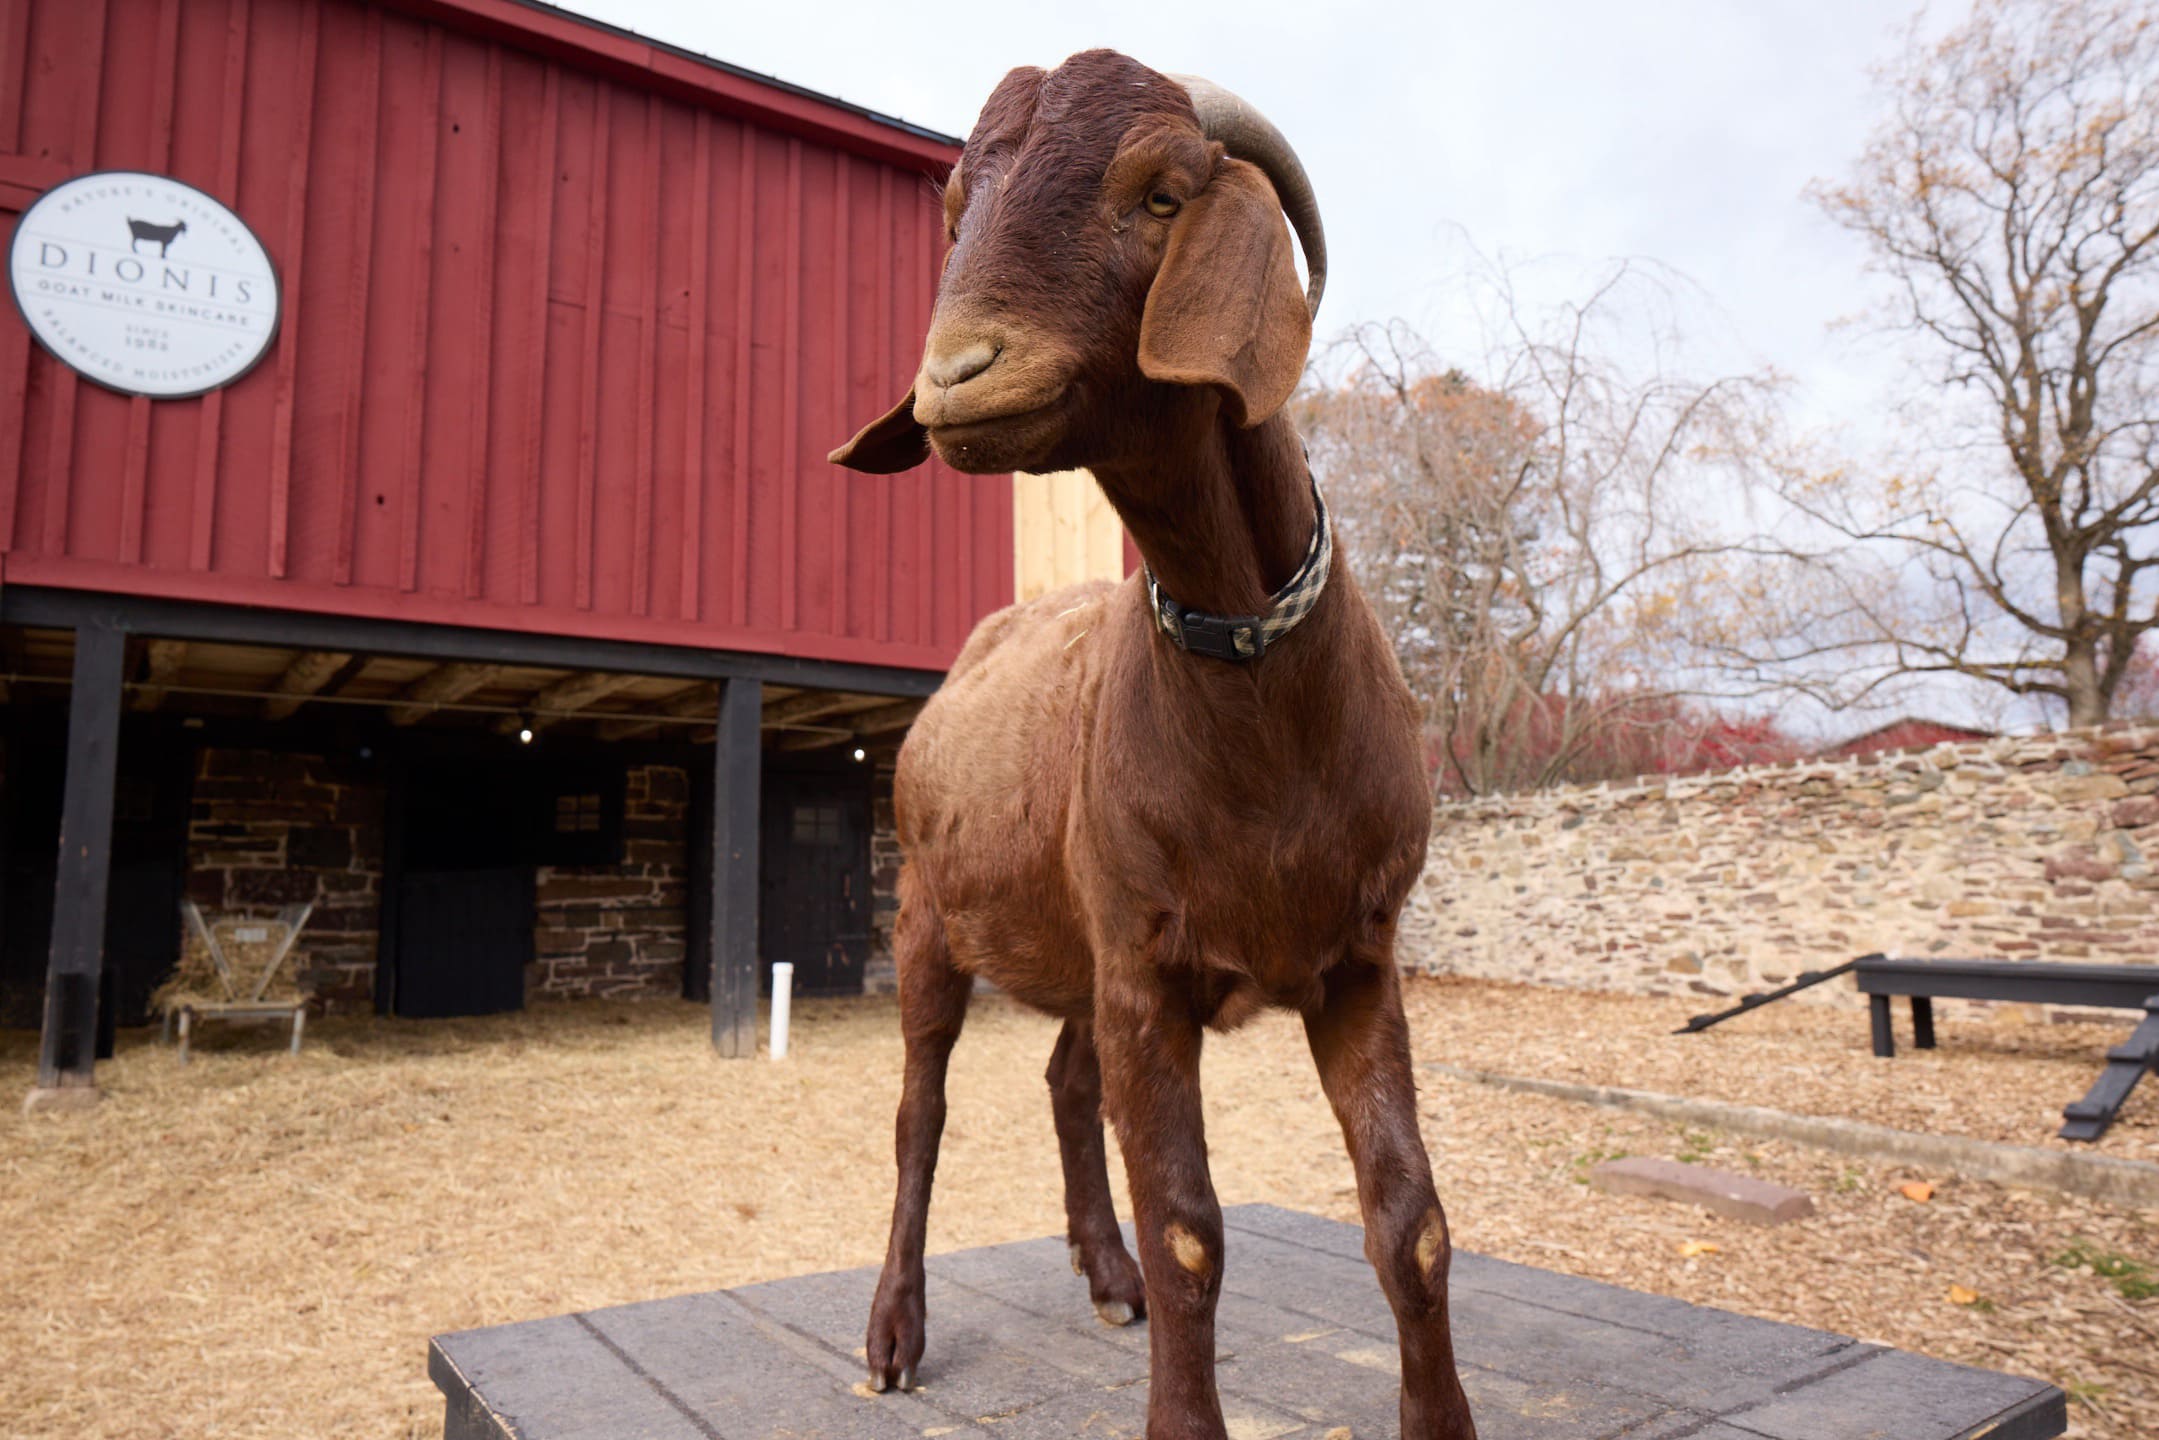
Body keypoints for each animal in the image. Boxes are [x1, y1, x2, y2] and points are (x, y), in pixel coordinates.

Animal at [831, 50, 1476, 1440]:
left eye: (1162, 193)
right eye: (955, 210)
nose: (954, 377)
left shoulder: (1354, 956)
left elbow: (1409, 1220)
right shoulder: (1146, 968)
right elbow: (1188, 1228)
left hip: (1083, 948)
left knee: (1065, 1083)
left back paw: (1104, 1273)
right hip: (926, 919)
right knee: (919, 1113)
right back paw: (893, 1332)